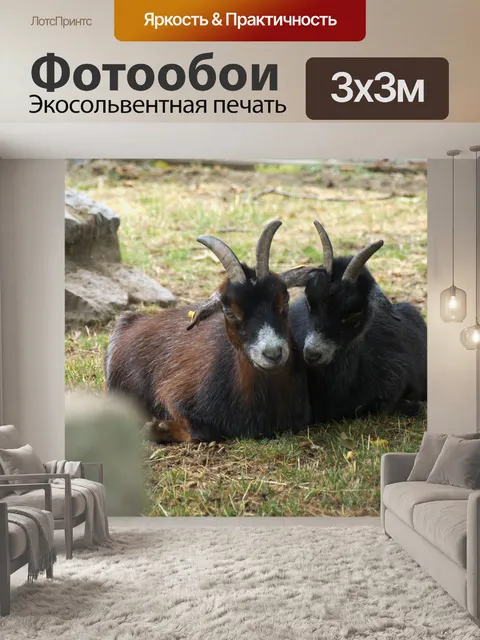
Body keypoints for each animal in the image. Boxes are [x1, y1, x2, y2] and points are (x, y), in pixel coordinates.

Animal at [105, 221, 313, 443]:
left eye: (285, 301)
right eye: (229, 311)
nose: (273, 353)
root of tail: (131, 320)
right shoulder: (173, 393)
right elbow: (201, 432)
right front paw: (157, 428)